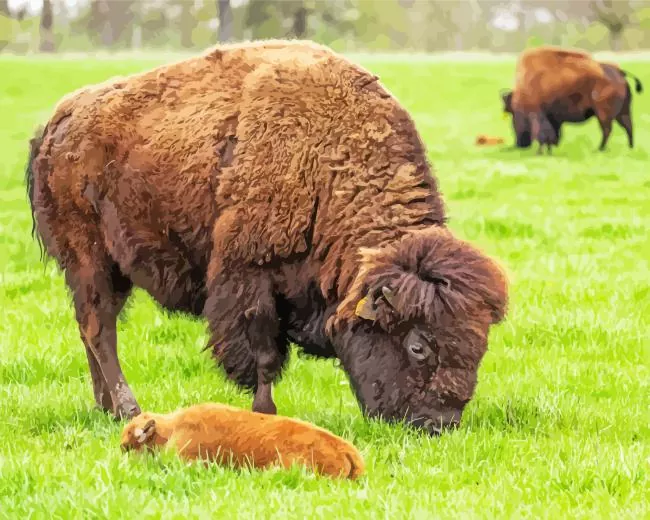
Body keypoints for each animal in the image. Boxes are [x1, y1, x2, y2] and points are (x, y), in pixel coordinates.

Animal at [26, 40, 508, 435]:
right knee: (99, 330)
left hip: (108, 270)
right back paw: (128, 409)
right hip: (89, 260)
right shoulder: (250, 279)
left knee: (92, 329)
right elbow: (263, 355)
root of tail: (56, 123)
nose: (438, 425)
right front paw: (265, 414)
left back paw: (106, 408)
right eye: (418, 346)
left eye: (479, 347)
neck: (328, 161)